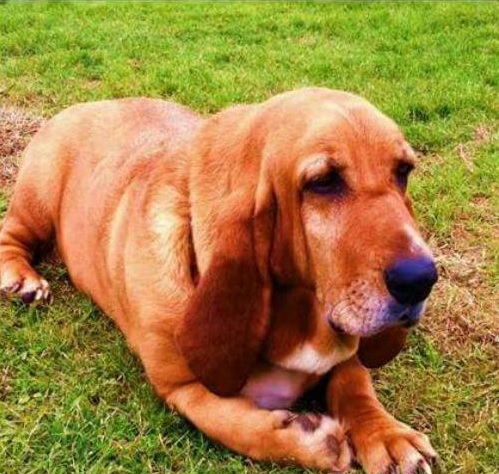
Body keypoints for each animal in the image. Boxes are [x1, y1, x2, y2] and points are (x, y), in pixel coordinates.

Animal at [0, 90, 438, 474]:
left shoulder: (348, 351)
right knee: (11, 233)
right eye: (323, 181)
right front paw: (311, 439)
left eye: (403, 171)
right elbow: (232, 424)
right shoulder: (181, 388)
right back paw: (23, 280)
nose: (422, 279)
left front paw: (387, 436)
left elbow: (354, 383)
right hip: (36, 203)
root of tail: (84, 105)